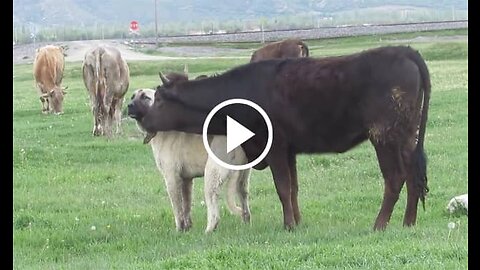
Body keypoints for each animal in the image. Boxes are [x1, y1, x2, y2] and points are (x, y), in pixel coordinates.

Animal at [127, 88, 251, 232]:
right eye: (132, 97)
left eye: (145, 97)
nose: (129, 105)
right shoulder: (186, 180)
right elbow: (186, 206)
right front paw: (187, 228)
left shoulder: (172, 178)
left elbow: (177, 208)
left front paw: (179, 229)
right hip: (242, 180)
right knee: (244, 200)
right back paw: (246, 224)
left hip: (212, 176)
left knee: (214, 210)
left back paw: (209, 230)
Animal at [141, 45, 430, 231]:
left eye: (158, 98)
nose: (138, 115)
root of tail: (404, 50)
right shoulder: (290, 149)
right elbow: (293, 187)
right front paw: (298, 222)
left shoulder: (276, 146)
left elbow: (282, 187)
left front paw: (288, 225)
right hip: (407, 137)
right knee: (413, 175)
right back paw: (409, 222)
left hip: (384, 137)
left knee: (395, 178)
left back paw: (380, 224)